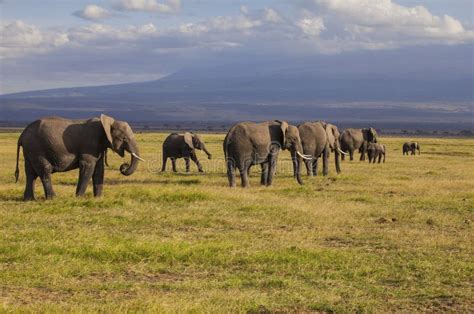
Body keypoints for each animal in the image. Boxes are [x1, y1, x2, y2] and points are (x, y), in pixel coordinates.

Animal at [14, 114, 144, 200]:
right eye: (124, 138)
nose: (124, 166)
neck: (107, 122)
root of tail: (22, 135)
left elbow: (99, 170)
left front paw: (98, 198)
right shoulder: (89, 144)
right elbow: (88, 167)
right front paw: (79, 198)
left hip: (30, 150)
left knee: (30, 173)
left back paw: (29, 200)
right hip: (36, 147)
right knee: (45, 170)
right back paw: (53, 198)